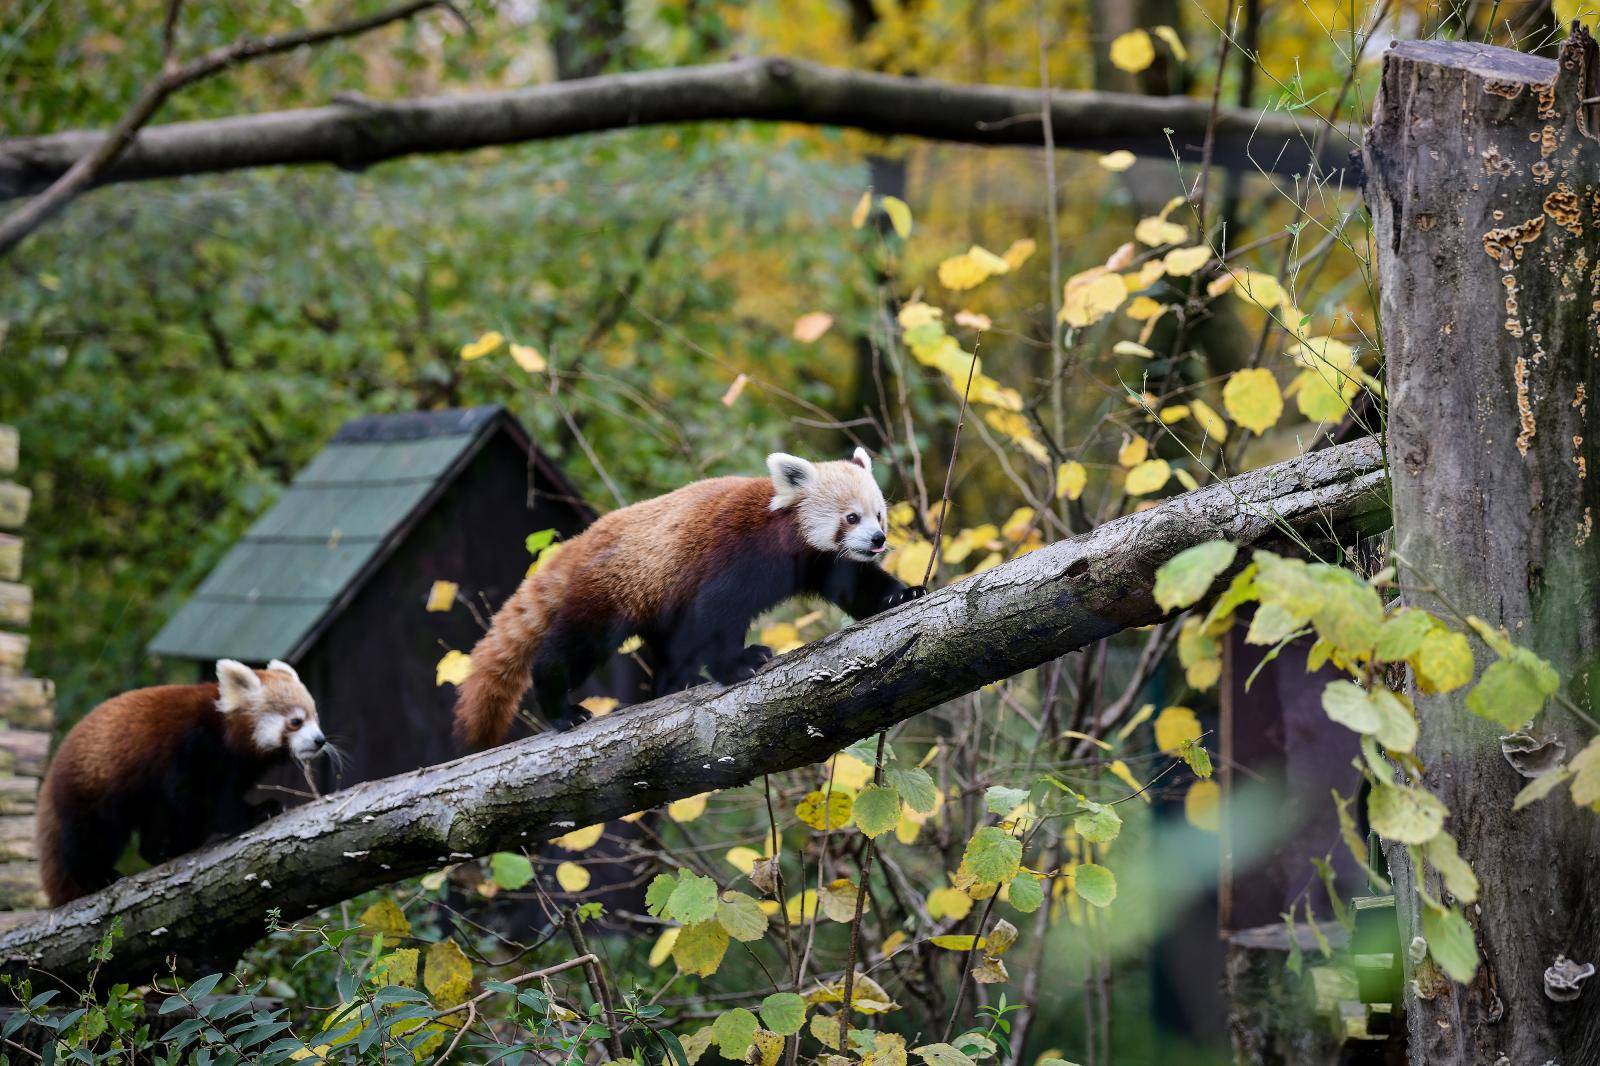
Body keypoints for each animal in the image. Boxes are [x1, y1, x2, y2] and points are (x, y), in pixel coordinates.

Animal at [37, 659, 328, 902]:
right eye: (296, 721)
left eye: (316, 717)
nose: (320, 740)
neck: (224, 728)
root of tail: (55, 766)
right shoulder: (192, 747)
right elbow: (199, 800)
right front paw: (253, 813)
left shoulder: (236, 766)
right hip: (94, 787)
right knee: (92, 835)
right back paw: (97, 877)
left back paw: (156, 851)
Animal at [451, 444, 928, 742]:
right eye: (851, 517)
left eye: (879, 515)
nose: (878, 540)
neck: (784, 535)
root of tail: (581, 542)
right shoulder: (735, 552)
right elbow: (715, 614)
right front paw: (738, 664)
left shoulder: (822, 562)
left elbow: (859, 585)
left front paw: (901, 595)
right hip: (610, 591)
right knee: (572, 646)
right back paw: (561, 708)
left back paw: (674, 682)